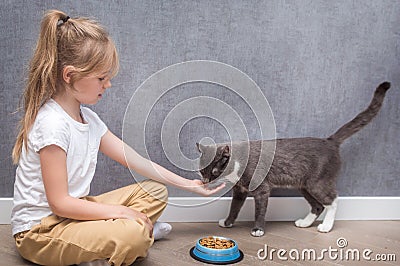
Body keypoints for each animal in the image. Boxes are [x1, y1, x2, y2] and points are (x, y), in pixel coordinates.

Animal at [197, 82, 390, 236]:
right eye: (201, 171)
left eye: (215, 171)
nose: (205, 182)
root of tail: (330, 141)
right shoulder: (240, 190)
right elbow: (234, 207)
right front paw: (227, 222)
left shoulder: (262, 189)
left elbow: (259, 211)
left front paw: (258, 229)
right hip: (304, 185)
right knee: (318, 206)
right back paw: (304, 223)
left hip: (317, 183)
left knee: (333, 200)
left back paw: (326, 227)